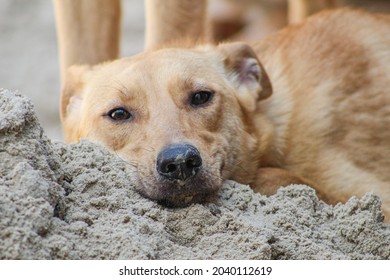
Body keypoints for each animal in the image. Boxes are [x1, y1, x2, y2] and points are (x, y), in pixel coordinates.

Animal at [57, 7, 390, 219]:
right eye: (118, 114)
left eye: (201, 97)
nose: (180, 163)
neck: (269, 124)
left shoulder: (379, 204)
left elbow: (273, 179)